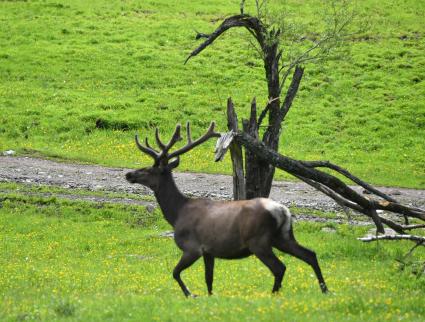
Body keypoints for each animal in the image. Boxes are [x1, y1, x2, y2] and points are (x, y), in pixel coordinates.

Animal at [124, 121, 326, 296]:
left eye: (151, 169)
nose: (129, 174)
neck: (176, 214)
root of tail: (283, 211)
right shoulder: (208, 251)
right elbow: (209, 280)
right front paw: (209, 297)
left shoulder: (192, 247)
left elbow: (175, 272)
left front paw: (191, 294)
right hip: (283, 236)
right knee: (310, 254)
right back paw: (324, 289)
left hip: (258, 240)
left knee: (280, 267)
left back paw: (273, 294)